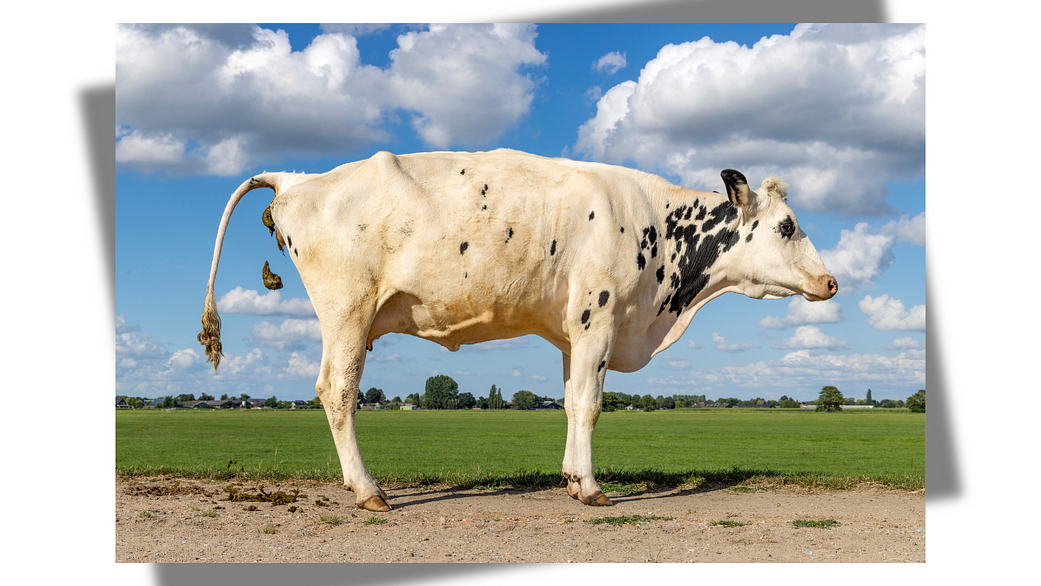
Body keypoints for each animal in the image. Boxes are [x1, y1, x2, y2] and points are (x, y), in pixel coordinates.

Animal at [199, 149, 837, 512]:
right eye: (787, 225)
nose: (831, 282)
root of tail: (298, 177)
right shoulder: (599, 318)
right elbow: (590, 406)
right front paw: (591, 488)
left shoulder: (573, 330)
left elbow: (570, 402)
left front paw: (571, 478)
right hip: (347, 312)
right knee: (337, 391)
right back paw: (368, 491)